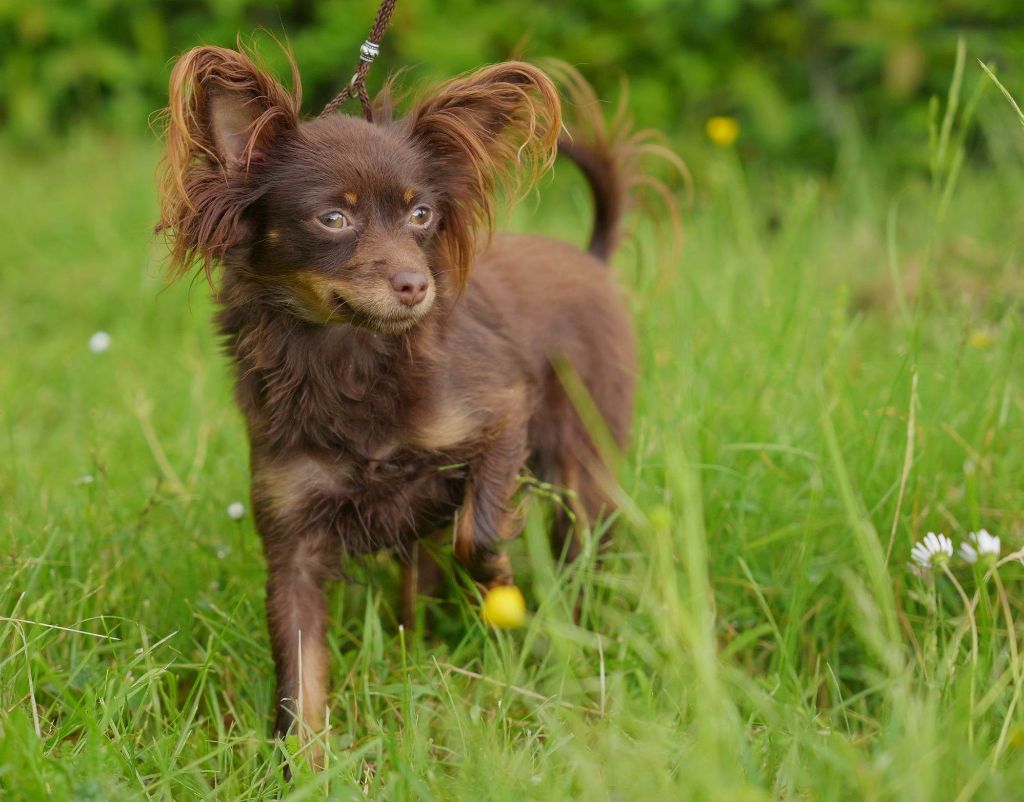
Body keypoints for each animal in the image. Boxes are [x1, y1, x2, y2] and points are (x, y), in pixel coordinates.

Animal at [157, 47, 655, 757]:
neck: (345, 358)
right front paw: (307, 767)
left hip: (580, 470)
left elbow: (477, 532)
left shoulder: (503, 413)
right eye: (333, 219)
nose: (416, 284)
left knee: (581, 553)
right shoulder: (293, 541)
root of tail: (593, 261)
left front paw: (500, 578)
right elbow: (300, 678)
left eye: (422, 217)